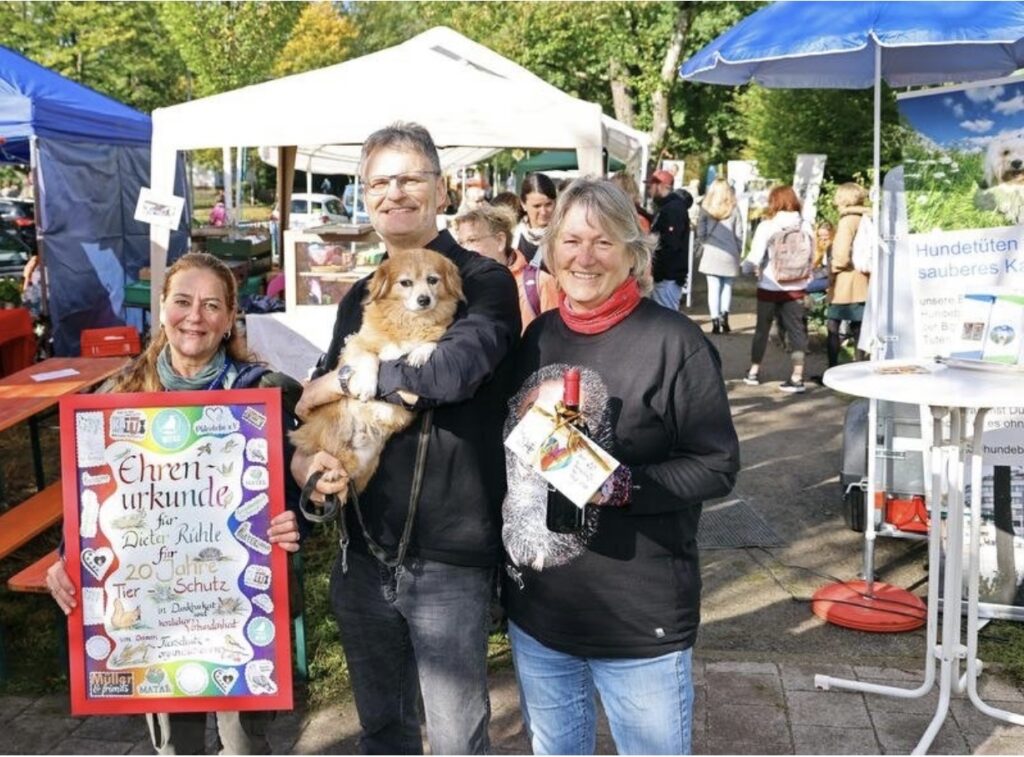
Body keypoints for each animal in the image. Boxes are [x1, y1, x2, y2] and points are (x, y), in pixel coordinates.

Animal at [288, 248, 464, 493]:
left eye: (432, 280)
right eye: (405, 283)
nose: (424, 299)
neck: (411, 321)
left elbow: (431, 343)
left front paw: (419, 353)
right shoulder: (357, 344)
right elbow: (371, 359)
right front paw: (368, 386)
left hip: (365, 463)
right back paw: (329, 474)